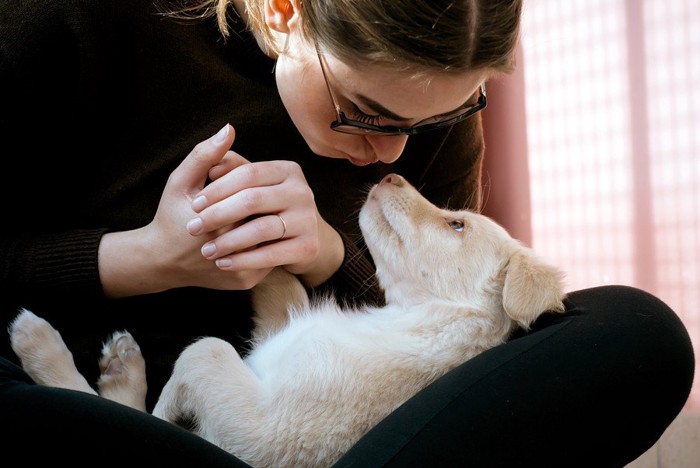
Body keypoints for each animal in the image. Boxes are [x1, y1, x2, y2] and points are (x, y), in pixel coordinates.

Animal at [8, 174, 568, 466]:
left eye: (456, 225)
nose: (390, 174)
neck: (407, 320)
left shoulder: (263, 433)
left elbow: (201, 353)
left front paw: (168, 409)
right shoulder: (277, 331)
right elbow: (283, 286)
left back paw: (47, 345)